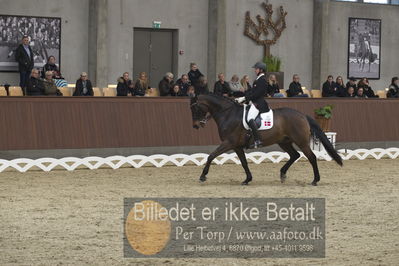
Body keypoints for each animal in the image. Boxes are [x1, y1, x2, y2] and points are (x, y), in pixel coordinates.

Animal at [191, 94, 344, 186]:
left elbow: (211, 156)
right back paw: (282, 174)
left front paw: (203, 176)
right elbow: (244, 163)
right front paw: (247, 179)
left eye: (195, 108)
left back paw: (315, 180)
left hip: (301, 142)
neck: (228, 113)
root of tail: (302, 115)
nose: (196, 125)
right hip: (284, 141)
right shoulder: (237, 146)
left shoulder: (229, 143)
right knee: (295, 155)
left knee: (311, 157)